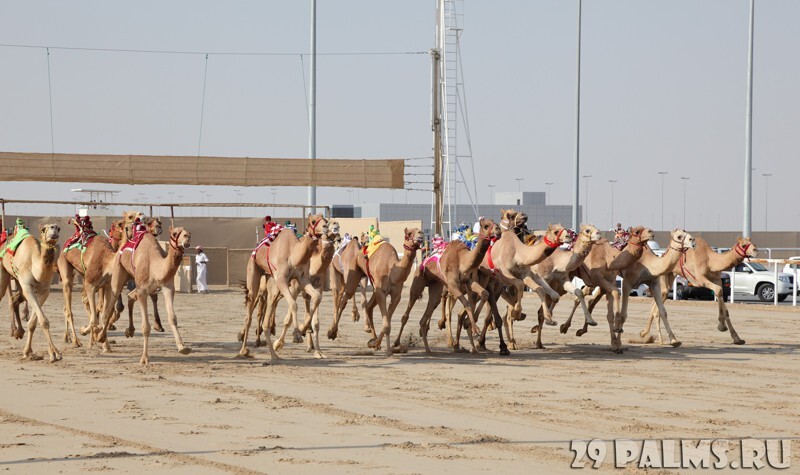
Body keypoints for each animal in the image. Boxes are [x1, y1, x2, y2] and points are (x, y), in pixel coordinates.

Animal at [0, 225, 62, 362]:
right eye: (44, 229)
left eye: (58, 228)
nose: (53, 229)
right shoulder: (28, 287)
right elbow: (43, 320)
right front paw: (54, 353)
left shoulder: (44, 291)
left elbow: (34, 322)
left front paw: (28, 352)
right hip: (4, 273)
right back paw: (15, 331)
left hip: (18, 281)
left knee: (15, 300)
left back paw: (18, 332)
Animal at [98, 227, 192, 364]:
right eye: (174, 233)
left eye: (189, 234)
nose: (187, 238)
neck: (155, 266)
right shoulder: (143, 291)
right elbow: (146, 326)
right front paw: (144, 358)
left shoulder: (168, 287)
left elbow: (172, 318)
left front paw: (183, 347)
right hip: (119, 271)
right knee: (109, 307)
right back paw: (101, 338)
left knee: (130, 296)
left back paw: (129, 330)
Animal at [238, 215, 328, 360]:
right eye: (313, 221)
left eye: (325, 219)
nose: (326, 226)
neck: (294, 253)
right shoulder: (281, 280)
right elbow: (293, 304)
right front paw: (297, 335)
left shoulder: (303, 279)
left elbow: (317, 297)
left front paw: (303, 328)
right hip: (254, 271)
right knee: (249, 314)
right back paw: (243, 350)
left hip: (270, 281)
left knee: (267, 315)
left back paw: (274, 355)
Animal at [394, 218, 500, 354]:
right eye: (486, 226)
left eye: (495, 223)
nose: (498, 230)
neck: (463, 260)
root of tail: (422, 263)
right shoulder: (452, 284)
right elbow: (467, 303)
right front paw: (474, 328)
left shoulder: (469, 282)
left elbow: (484, 294)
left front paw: (469, 324)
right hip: (418, 284)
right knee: (407, 312)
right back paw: (397, 343)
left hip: (435, 286)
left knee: (427, 312)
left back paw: (428, 349)